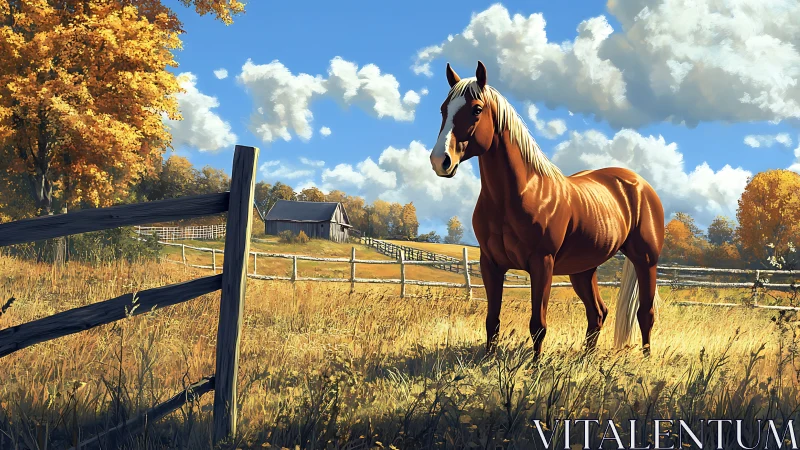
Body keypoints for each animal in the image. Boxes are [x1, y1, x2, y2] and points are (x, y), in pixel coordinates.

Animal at [429, 61, 664, 357]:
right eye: (443, 109)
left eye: (477, 109)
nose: (440, 160)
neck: (520, 194)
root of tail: (639, 184)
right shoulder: (490, 264)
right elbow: (492, 320)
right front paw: (488, 360)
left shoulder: (542, 263)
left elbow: (538, 324)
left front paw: (534, 366)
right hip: (583, 269)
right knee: (597, 313)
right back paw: (586, 360)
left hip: (646, 261)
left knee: (645, 313)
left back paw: (645, 358)